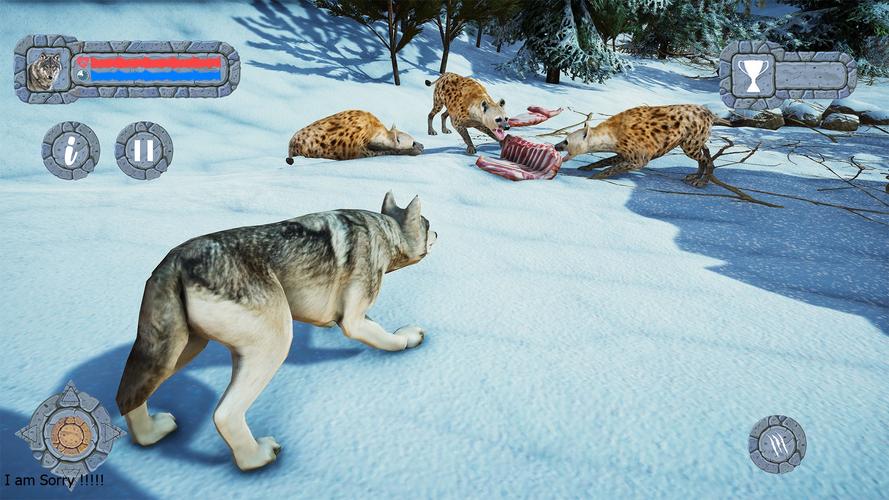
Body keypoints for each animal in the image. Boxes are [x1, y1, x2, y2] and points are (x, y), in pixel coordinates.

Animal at [116, 192, 437, 471]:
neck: (386, 231)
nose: (438, 233)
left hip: (182, 348)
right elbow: (387, 338)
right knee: (224, 414)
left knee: (128, 396)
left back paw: (149, 434)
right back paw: (256, 458)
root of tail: (174, 262)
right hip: (273, 343)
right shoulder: (354, 321)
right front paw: (407, 338)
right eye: (428, 224)